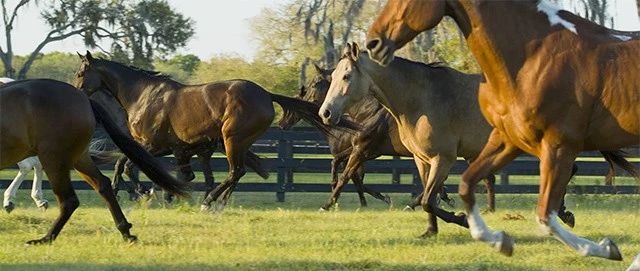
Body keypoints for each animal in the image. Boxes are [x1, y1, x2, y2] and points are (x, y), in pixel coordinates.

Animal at [75, 51, 356, 212]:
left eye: (80, 73)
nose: (75, 92)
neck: (143, 95)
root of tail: (266, 95)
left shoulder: (152, 145)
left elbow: (128, 165)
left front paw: (144, 191)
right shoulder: (166, 148)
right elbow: (124, 164)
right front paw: (133, 191)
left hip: (232, 140)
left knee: (235, 171)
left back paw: (208, 202)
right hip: (237, 143)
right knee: (239, 172)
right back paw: (215, 200)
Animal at [364, 0, 640, 264]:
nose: (373, 43)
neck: (532, 57)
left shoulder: (559, 145)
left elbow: (545, 217)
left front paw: (607, 248)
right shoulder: (507, 140)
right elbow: (466, 185)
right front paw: (500, 241)